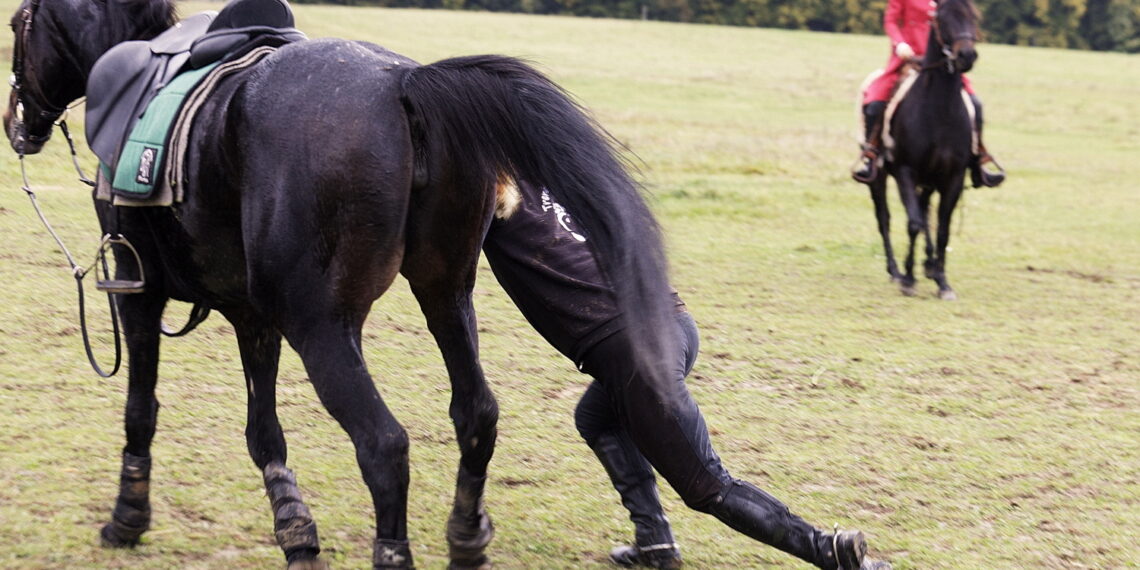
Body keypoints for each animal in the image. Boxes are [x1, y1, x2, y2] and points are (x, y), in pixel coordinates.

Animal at [4, 2, 679, 567]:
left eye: (17, 24)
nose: (19, 123)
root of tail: (404, 84)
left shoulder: (138, 290)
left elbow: (141, 411)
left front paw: (127, 518)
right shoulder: (253, 315)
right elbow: (263, 432)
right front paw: (295, 530)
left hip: (322, 328)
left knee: (383, 445)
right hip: (445, 295)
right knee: (477, 414)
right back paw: (466, 536)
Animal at [866, 0, 984, 303]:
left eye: (974, 16)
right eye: (941, 19)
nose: (966, 55)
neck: (940, 109)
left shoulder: (953, 177)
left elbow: (941, 229)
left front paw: (942, 281)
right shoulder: (906, 172)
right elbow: (914, 224)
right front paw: (909, 279)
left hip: (929, 181)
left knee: (925, 212)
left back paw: (929, 265)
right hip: (879, 177)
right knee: (885, 219)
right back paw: (896, 270)